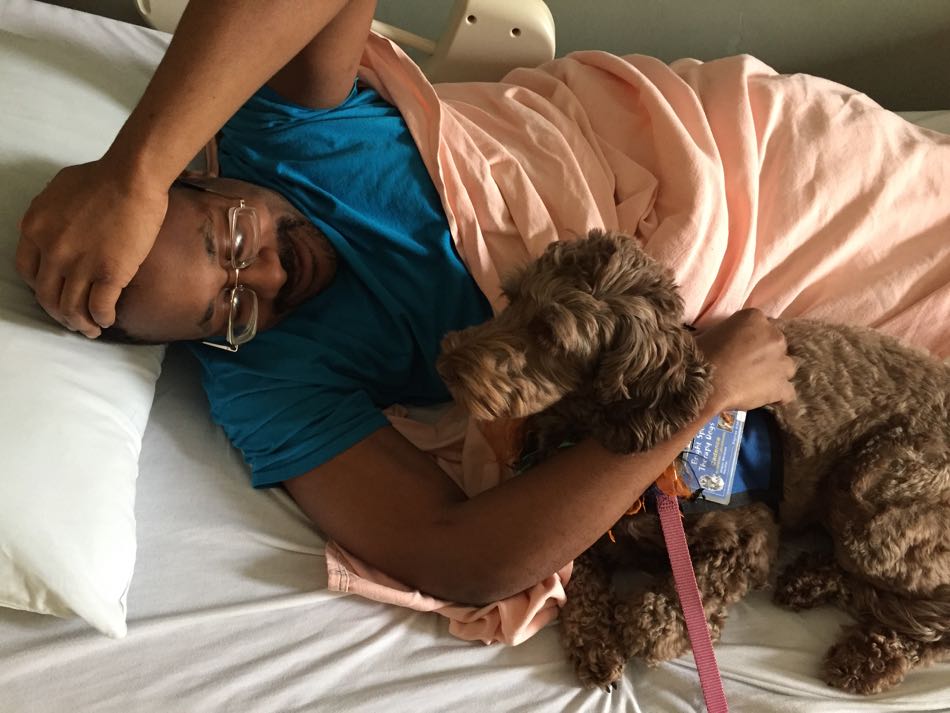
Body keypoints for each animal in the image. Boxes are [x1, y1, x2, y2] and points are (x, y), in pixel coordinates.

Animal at [438, 229, 950, 696]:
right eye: (511, 297)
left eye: (548, 333)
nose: (447, 365)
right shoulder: (584, 529)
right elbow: (579, 580)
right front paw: (595, 644)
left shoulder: (749, 539)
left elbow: (668, 606)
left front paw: (647, 626)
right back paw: (809, 581)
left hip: (875, 494)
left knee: (929, 612)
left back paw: (866, 657)